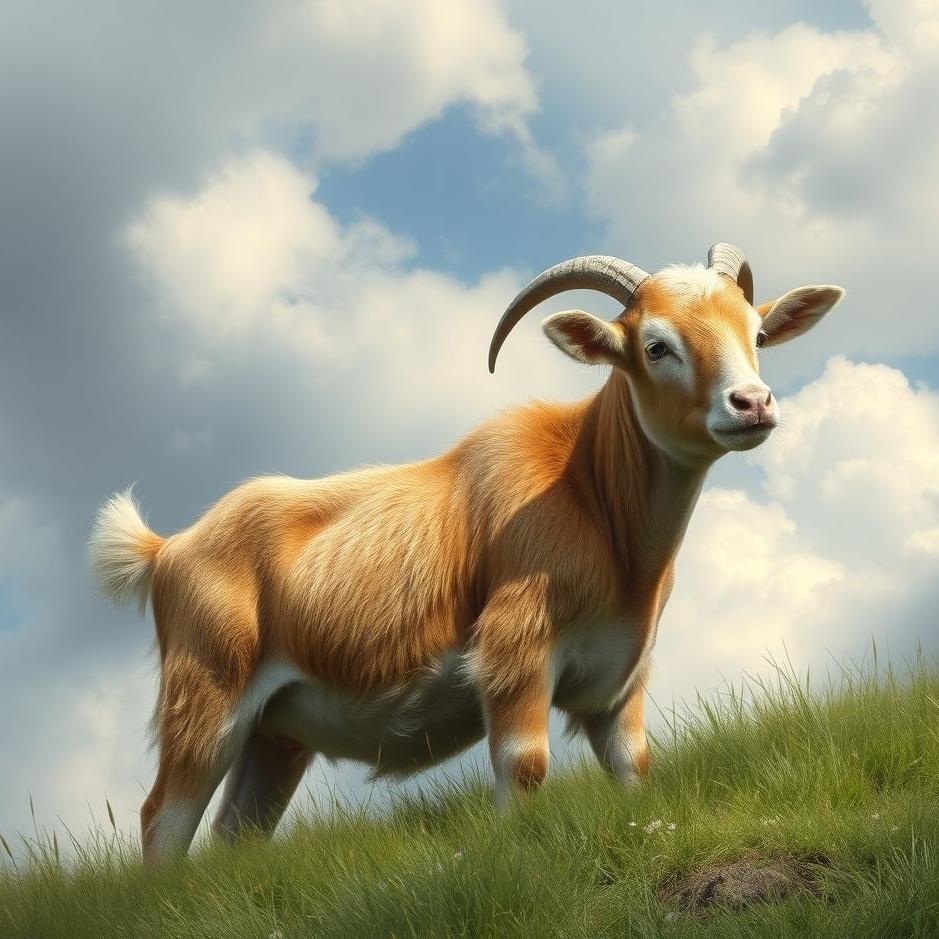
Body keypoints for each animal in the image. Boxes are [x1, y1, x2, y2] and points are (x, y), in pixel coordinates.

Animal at [89, 243, 844, 863]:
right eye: (656, 345)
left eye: (756, 333)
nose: (751, 403)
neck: (585, 486)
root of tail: (168, 547)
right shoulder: (514, 656)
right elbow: (525, 765)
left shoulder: (617, 685)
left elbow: (636, 767)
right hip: (206, 699)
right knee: (162, 820)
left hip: (274, 737)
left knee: (234, 834)